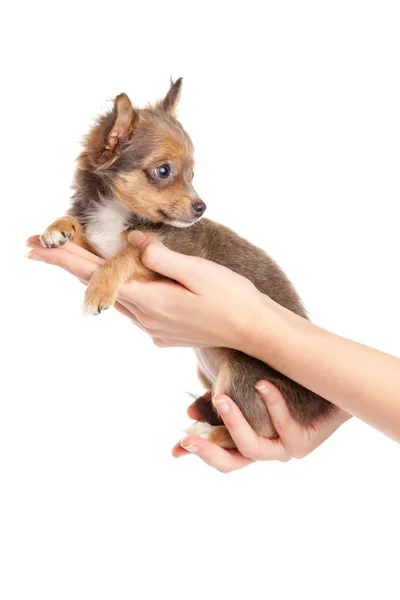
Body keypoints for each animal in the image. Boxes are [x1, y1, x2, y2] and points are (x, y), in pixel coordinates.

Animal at [40, 78, 334, 446]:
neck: (117, 213)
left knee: (255, 435)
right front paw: (58, 227)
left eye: (193, 173)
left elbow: (129, 254)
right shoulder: (97, 246)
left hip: (243, 375)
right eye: (164, 171)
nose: (201, 207)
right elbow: (85, 234)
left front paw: (99, 290)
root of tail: (315, 405)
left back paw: (207, 432)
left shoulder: (173, 257)